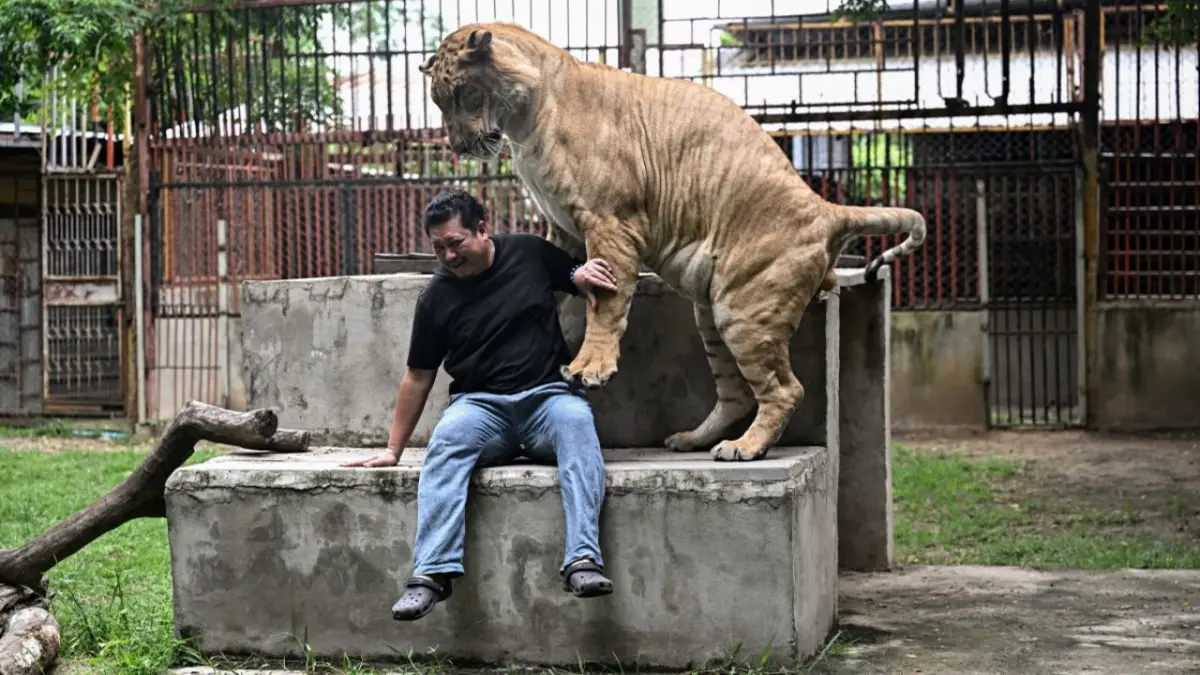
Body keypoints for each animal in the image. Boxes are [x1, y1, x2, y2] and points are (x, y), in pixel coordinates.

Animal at [418, 22, 926, 462]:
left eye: (463, 94)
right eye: (438, 102)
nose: (458, 147)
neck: (523, 123)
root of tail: (825, 208)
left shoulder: (611, 221)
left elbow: (605, 302)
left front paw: (590, 366)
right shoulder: (564, 227)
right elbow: (563, 291)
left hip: (745, 307)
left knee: (785, 389)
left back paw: (744, 448)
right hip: (713, 313)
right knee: (737, 392)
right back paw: (692, 439)